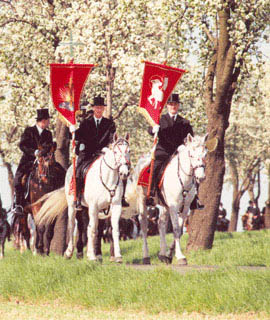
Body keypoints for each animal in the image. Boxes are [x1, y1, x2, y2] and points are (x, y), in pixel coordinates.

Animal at [34, 134, 131, 262]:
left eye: (128, 151)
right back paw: (69, 252)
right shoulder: (94, 207)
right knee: (72, 226)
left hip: (87, 209)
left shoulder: (115, 206)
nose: (124, 173)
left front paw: (118, 256)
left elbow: (114, 230)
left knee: (84, 227)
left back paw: (85, 253)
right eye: (115, 152)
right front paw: (91, 256)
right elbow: (92, 229)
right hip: (73, 206)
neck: (108, 177)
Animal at [127, 133, 208, 264]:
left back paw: (162, 254)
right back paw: (146, 257)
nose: (201, 177)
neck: (182, 179)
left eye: (205, 154)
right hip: (142, 201)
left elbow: (179, 230)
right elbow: (175, 229)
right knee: (143, 226)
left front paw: (169, 255)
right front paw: (180, 257)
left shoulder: (185, 207)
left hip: (164, 206)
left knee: (161, 223)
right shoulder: (174, 206)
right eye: (191, 154)